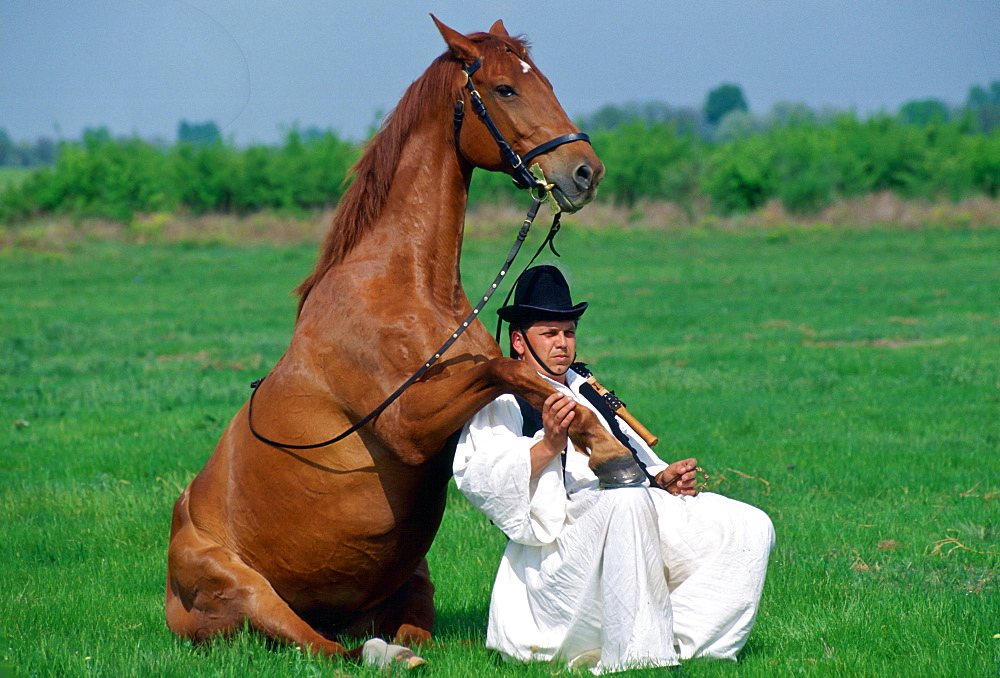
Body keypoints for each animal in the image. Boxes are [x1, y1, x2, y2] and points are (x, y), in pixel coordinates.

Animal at [166, 15, 640, 668]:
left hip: (412, 578)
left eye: (542, 80)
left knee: (409, 634)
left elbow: (525, 381)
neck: (407, 286)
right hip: (245, 591)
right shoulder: (407, 426)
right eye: (505, 89)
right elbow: (517, 373)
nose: (586, 172)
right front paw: (614, 453)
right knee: (325, 648)